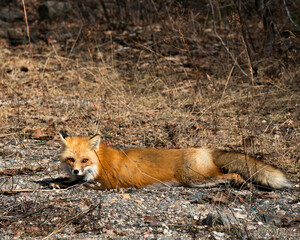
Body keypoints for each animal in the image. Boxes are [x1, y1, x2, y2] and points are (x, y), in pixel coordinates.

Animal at [58, 131, 290, 189]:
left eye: (85, 160)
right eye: (71, 160)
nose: (76, 171)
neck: (101, 162)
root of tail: (206, 149)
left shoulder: (110, 183)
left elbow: (83, 185)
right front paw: (61, 182)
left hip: (196, 179)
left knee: (231, 174)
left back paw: (243, 185)